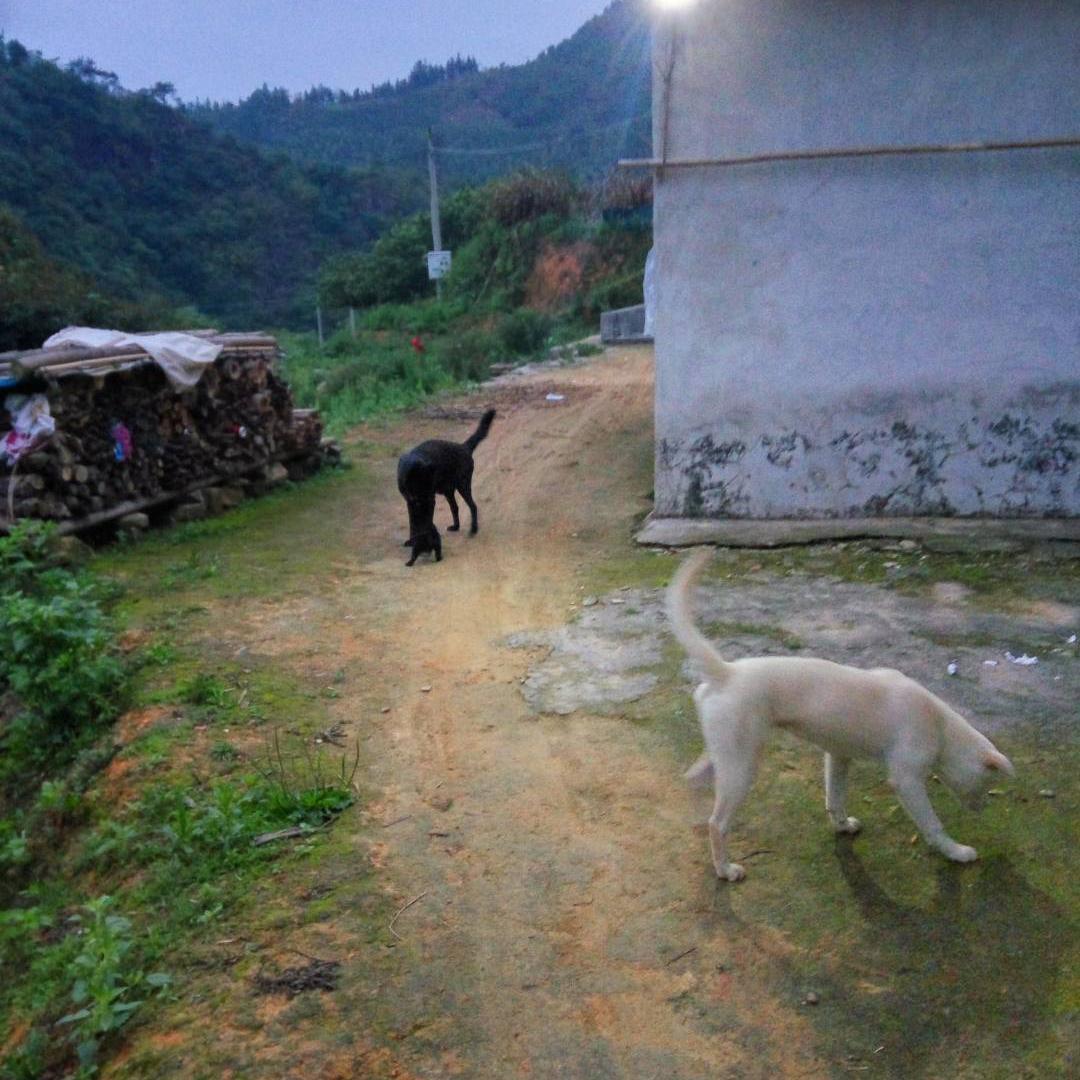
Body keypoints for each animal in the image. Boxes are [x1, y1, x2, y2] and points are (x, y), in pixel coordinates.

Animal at [399, 408, 494, 570]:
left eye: (429, 484)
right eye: (423, 485)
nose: (427, 498)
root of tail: (463, 447)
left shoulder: (430, 500)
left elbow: (425, 520)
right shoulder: (411, 502)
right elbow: (413, 522)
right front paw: (412, 541)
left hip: (463, 486)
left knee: (473, 506)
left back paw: (473, 530)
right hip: (448, 491)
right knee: (455, 507)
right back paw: (455, 527)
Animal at [665, 548, 1010, 876]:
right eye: (987, 784)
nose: (982, 809)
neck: (940, 726)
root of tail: (726, 673)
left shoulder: (838, 756)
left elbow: (835, 798)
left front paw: (842, 826)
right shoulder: (907, 780)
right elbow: (933, 825)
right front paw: (956, 851)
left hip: (724, 755)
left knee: (698, 784)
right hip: (742, 766)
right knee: (718, 823)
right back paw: (725, 869)